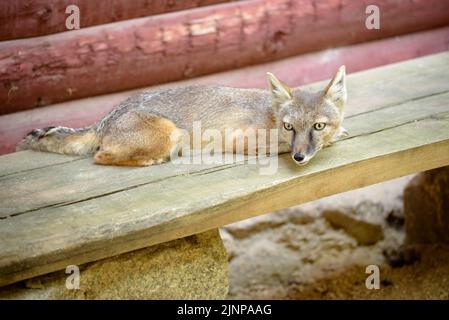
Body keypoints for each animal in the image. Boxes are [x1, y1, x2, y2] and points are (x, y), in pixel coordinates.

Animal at [16, 67, 346, 168]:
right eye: (289, 127)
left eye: (317, 125)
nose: (300, 157)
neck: (270, 115)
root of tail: (106, 116)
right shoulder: (240, 140)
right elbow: (278, 147)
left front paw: (336, 135)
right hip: (170, 133)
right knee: (100, 156)